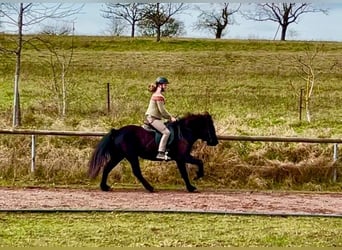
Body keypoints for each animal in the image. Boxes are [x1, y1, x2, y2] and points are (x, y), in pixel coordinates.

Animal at [87, 112, 216, 192]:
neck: (184, 132)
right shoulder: (182, 157)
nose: (215, 141)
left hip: (119, 155)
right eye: (210, 127)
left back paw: (104, 187)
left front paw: (194, 182)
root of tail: (117, 131)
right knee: (136, 172)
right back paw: (150, 188)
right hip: (131, 156)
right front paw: (194, 182)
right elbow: (192, 167)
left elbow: (192, 167)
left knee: (107, 167)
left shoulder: (183, 157)